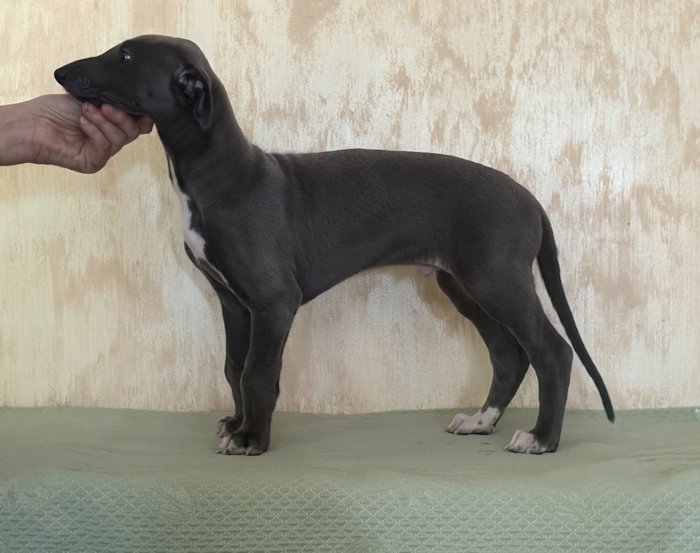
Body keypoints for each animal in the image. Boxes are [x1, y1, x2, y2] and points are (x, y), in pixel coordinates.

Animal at [55, 35, 614, 456]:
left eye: (126, 56)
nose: (60, 72)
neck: (221, 175)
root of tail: (530, 199)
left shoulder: (273, 300)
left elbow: (258, 371)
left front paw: (252, 439)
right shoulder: (234, 300)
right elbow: (234, 367)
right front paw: (237, 424)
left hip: (496, 278)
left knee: (552, 351)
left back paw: (541, 438)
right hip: (463, 284)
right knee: (507, 354)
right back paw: (481, 421)